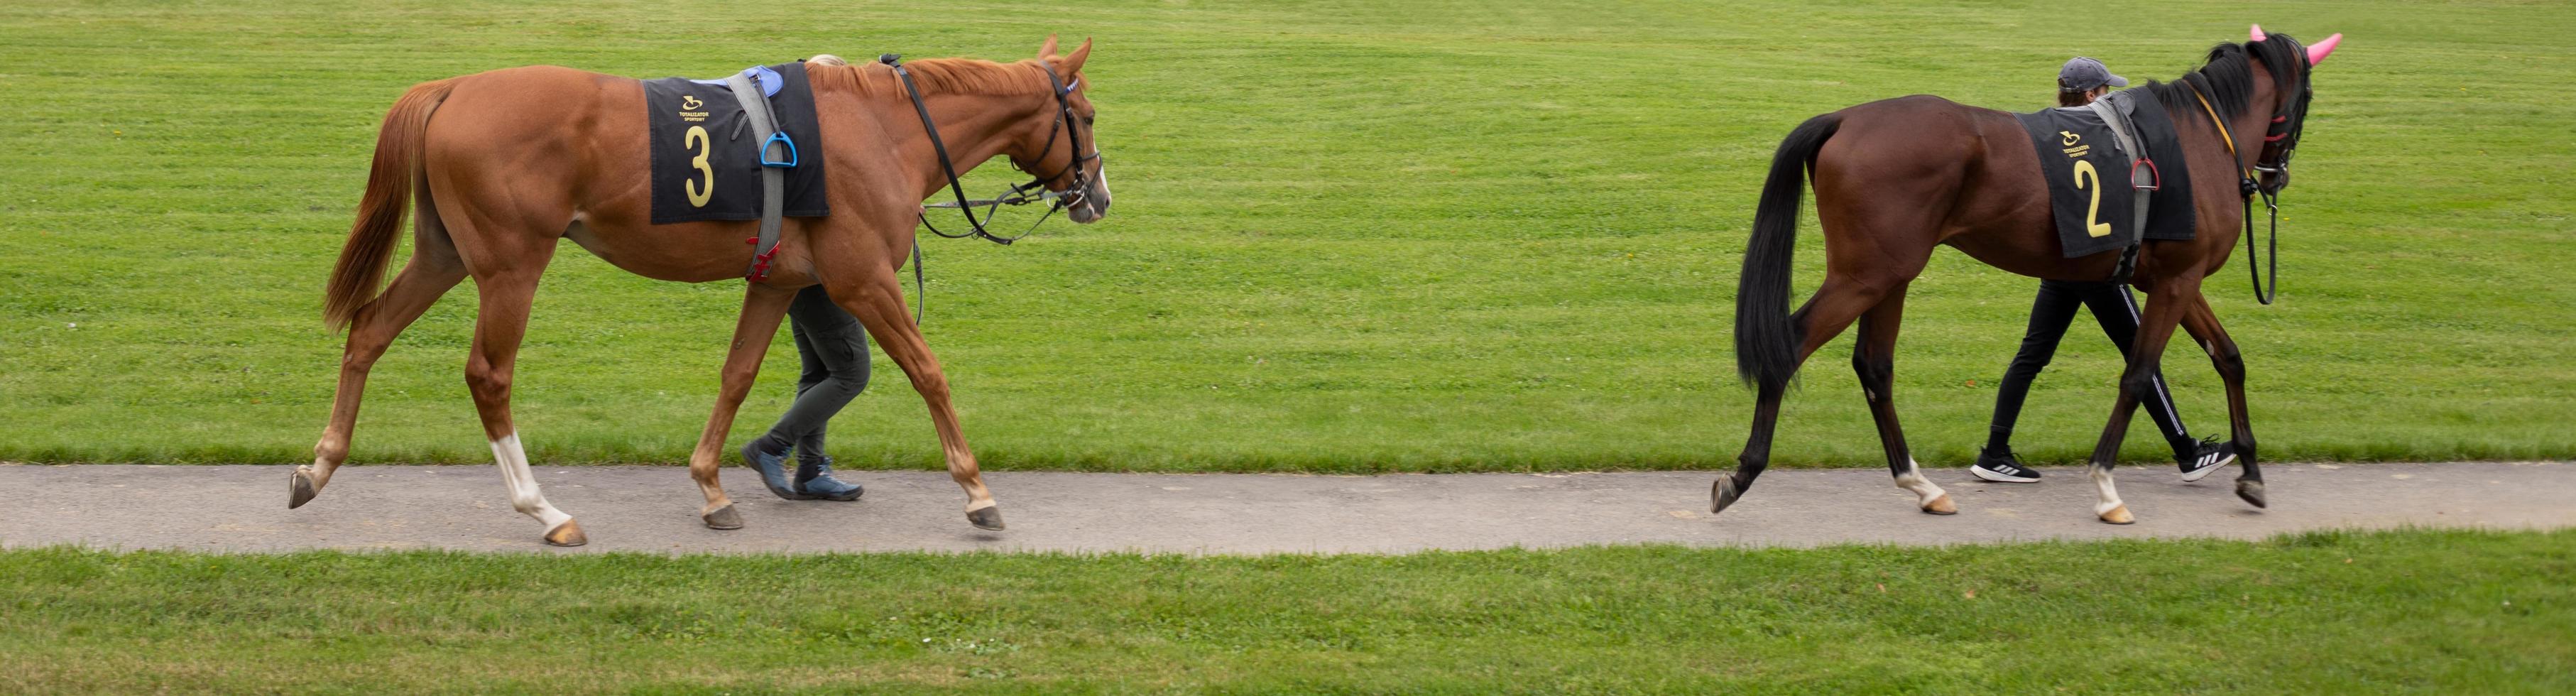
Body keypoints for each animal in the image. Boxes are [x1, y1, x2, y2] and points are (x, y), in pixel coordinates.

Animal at [296, 38, 1113, 546]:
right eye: (1088, 115)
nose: (1098, 195)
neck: (882, 128)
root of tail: (453, 87)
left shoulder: (781, 280)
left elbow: (739, 375)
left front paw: (714, 487)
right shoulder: (864, 280)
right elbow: (928, 372)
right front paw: (978, 493)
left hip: (445, 254)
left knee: (369, 329)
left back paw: (318, 465)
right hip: (510, 265)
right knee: (487, 376)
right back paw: (545, 510)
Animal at [1720, 30, 2349, 526]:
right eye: (2309, 98)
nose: (2276, 176)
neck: (2195, 140)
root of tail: (1845, 117)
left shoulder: (2176, 280)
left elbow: (2229, 358)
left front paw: (2250, 472)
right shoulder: (2175, 281)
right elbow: (2139, 374)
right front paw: (2106, 488)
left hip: (1889, 276)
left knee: (1874, 367)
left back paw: (1922, 486)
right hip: (1864, 276)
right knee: (1790, 344)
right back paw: (1742, 474)